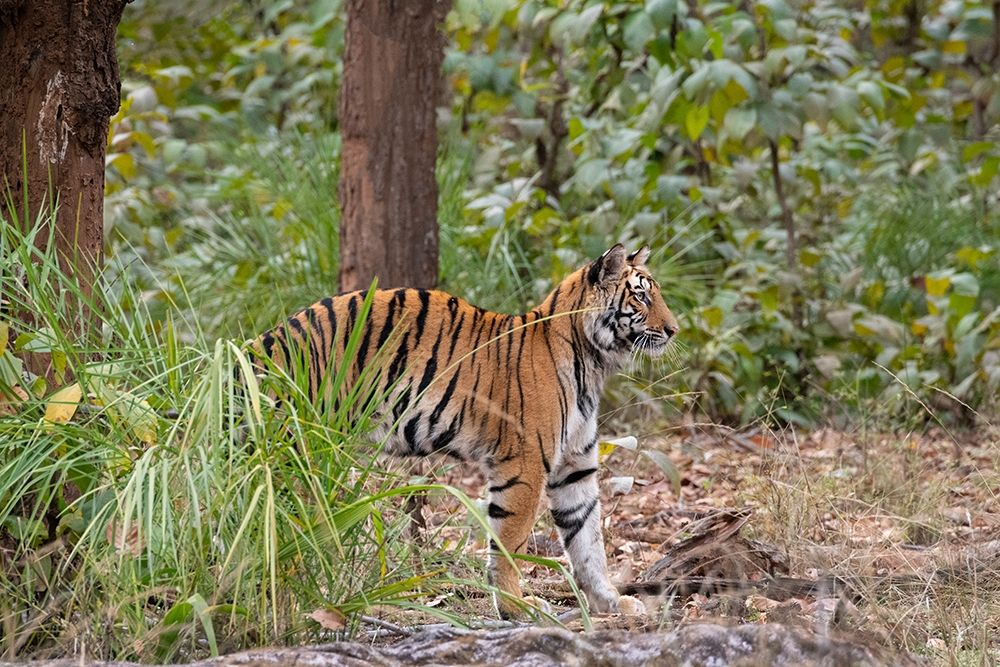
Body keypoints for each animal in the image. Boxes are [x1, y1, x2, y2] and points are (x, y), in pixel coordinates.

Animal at [254, 244, 684, 616]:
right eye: (642, 297)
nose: (675, 330)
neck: (593, 362)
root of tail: (267, 340)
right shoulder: (526, 462)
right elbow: (511, 540)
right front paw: (516, 607)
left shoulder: (575, 467)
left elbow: (589, 540)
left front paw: (611, 601)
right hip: (300, 451)